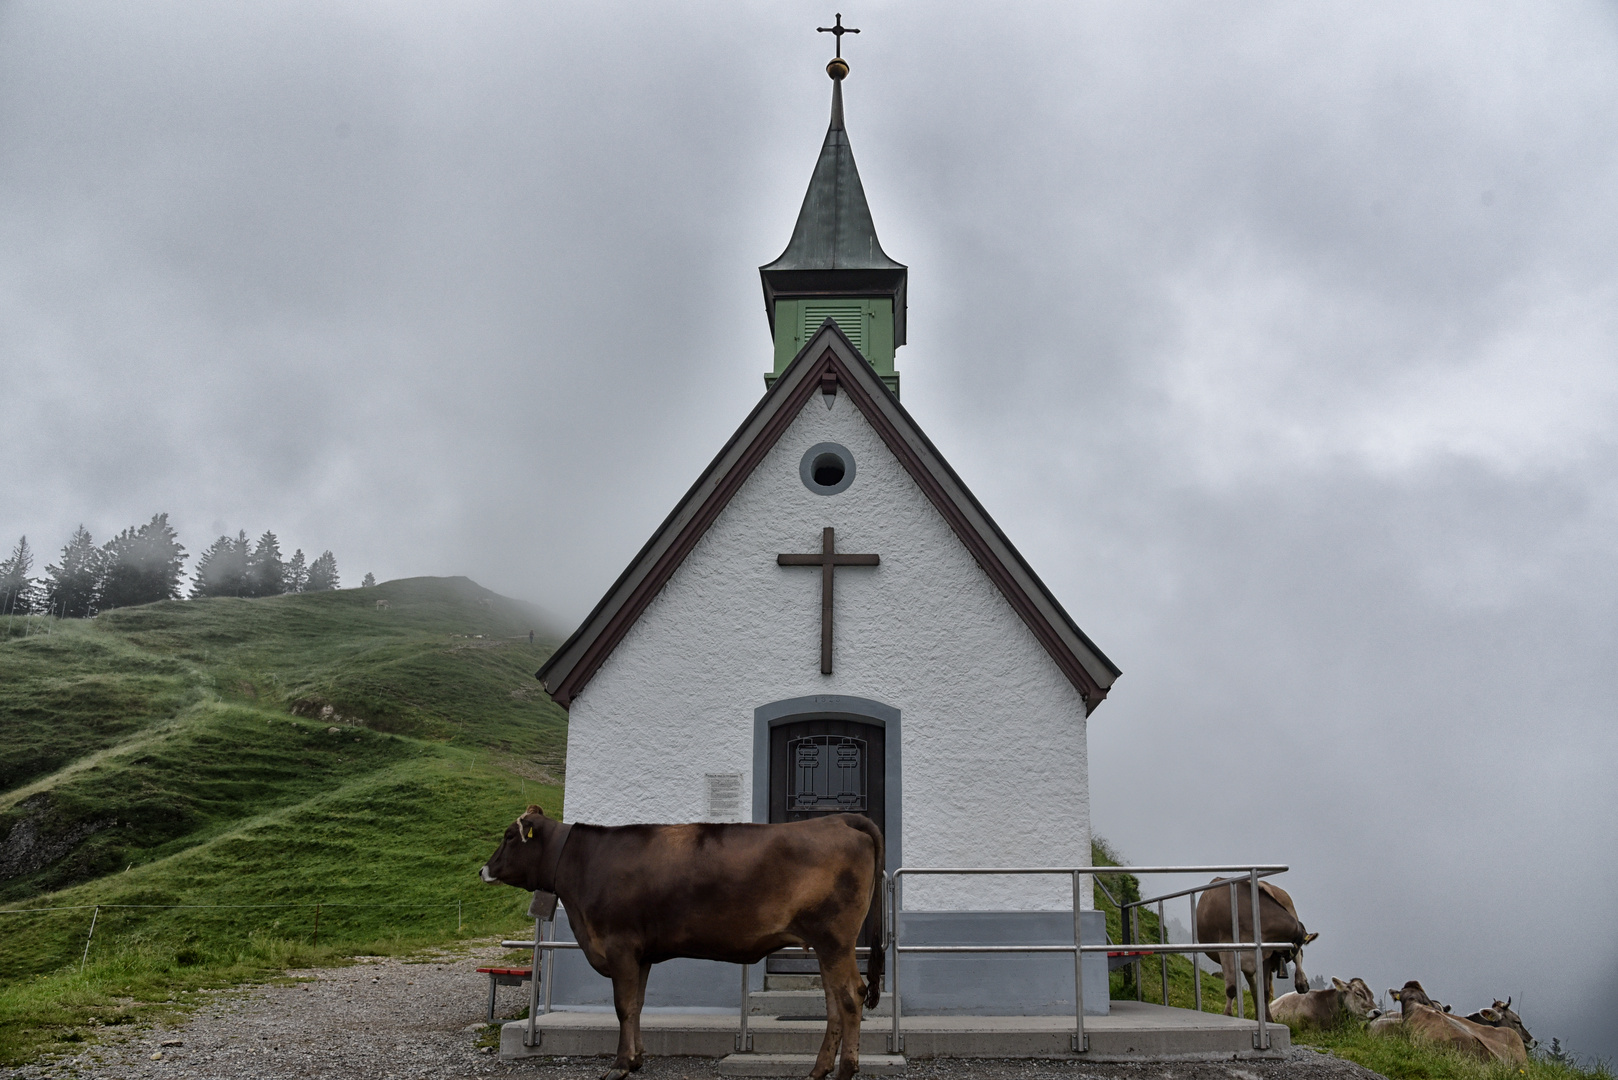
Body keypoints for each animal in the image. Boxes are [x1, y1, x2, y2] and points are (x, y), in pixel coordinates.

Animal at [478, 806, 886, 1080]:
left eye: (509, 836)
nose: (484, 870)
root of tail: (838, 819)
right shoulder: (640, 954)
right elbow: (637, 1005)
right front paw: (637, 1058)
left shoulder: (619, 946)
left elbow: (622, 1007)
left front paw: (620, 1065)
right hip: (826, 945)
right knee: (833, 1002)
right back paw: (819, 1069)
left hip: (835, 939)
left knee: (851, 996)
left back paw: (846, 1070)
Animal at [1197, 874, 1320, 1016]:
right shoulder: (1227, 951)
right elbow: (1233, 989)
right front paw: (1228, 1014)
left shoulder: (1264, 956)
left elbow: (1264, 992)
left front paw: (1267, 1017)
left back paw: (1301, 982)